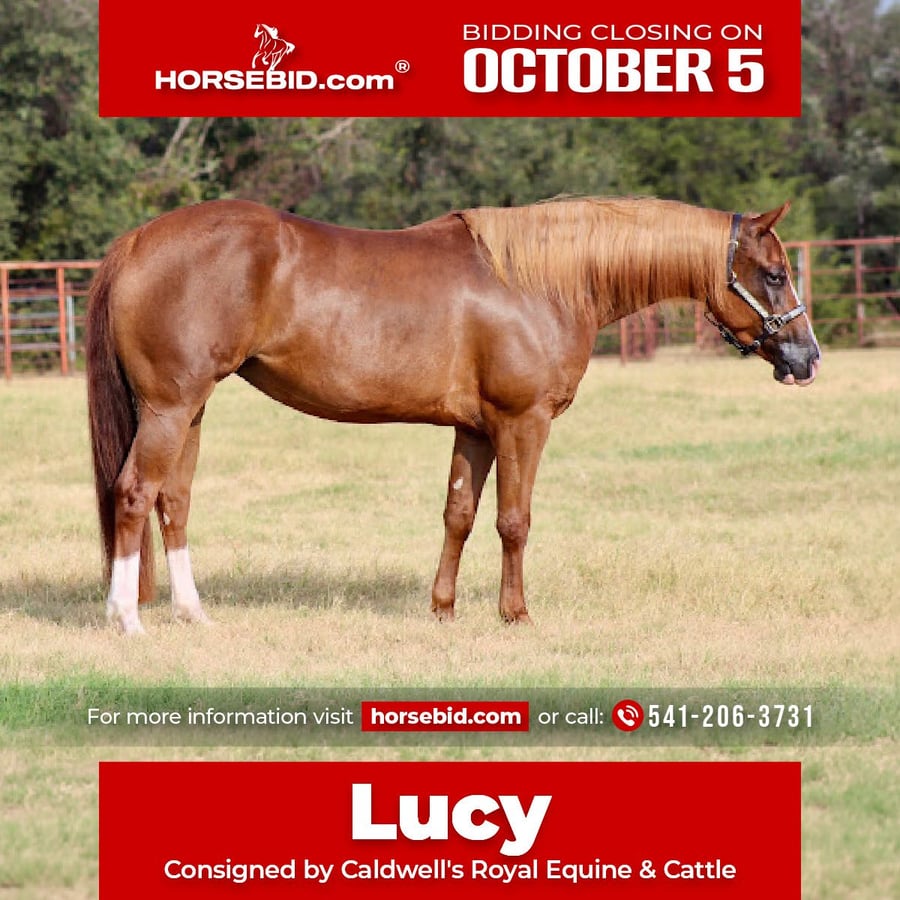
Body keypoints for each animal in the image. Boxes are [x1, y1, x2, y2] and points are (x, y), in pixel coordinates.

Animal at [85, 196, 820, 635]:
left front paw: (442, 608)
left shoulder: (475, 429)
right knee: (134, 494)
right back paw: (126, 617)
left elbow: (459, 515)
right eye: (775, 274)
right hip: (170, 408)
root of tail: (137, 241)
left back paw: (193, 613)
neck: (542, 281)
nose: (807, 357)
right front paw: (515, 614)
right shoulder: (523, 423)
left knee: (174, 502)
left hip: (192, 411)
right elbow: (514, 521)